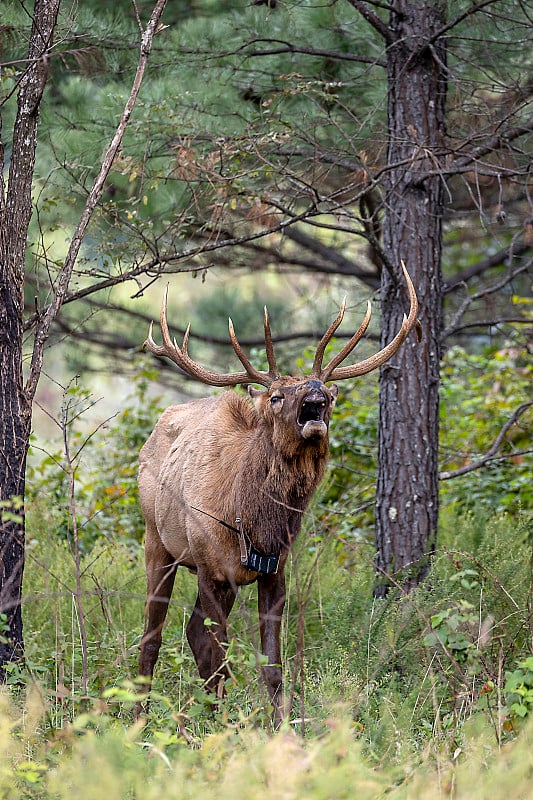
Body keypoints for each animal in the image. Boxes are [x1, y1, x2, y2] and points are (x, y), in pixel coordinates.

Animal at [136, 266, 416, 728]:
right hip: (157, 541)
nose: (316, 390)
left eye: (330, 394)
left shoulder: (274, 572)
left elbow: (272, 665)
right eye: (277, 395)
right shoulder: (210, 568)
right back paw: (138, 715)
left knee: (192, 633)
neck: (252, 523)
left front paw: (279, 725)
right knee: (153, 637)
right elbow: (220, 657)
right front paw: (223, 727)